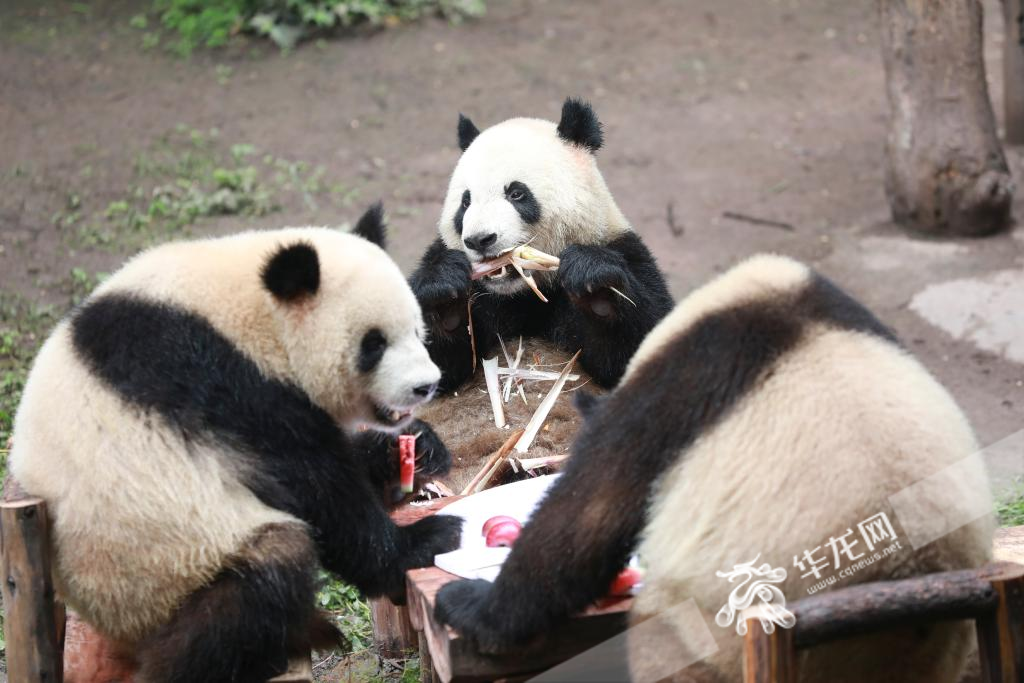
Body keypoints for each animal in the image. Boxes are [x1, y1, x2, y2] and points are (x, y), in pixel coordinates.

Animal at [7, 205, 464, 679]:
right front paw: (425, 542)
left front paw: (412, 449)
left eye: (416, 330)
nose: (425, 386)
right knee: (261, 578)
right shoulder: (225, 386)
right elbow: (317, 491)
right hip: (161, 572)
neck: (251, 311)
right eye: (374, 343)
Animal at [403, 98, 675, 393]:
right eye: (465, 202)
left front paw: (596, 287)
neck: (523, 292)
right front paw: (443, 297)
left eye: (516, 193)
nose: (479, 240)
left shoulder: (624, 249)